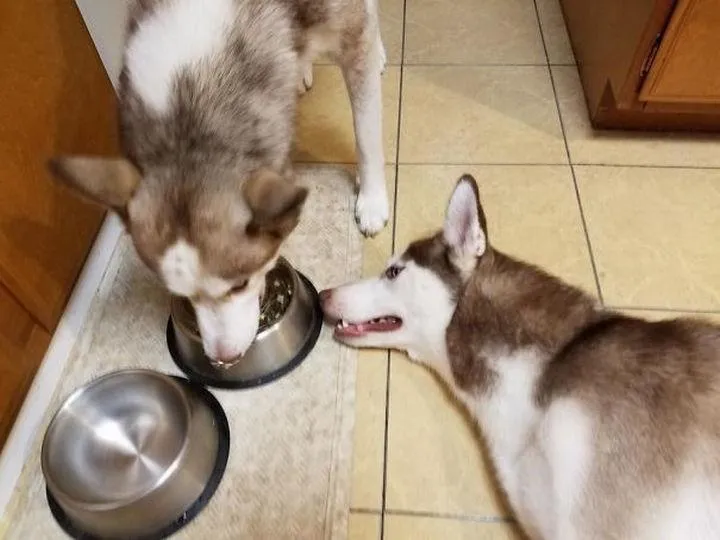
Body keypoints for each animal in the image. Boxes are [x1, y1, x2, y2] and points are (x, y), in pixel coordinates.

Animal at [50, 0, 388, 364]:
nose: (224, 358)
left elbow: (366, 132)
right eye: (181, 294)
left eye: (240, 284)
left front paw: (372, 200)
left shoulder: (350, 35)